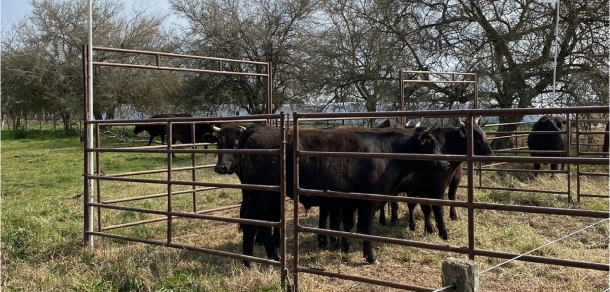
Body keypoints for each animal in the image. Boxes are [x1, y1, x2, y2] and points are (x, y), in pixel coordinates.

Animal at [214, 123, 446, 266]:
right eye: (431, 145)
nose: (445, 164)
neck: (387, 152)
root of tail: (256, 129)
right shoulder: (369, 200)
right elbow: (366, 229)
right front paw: (370, 257)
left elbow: (348, 225)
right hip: (262, 194)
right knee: (253, 221)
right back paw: (252, 261)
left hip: (267, 195)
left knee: (260, 223)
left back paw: (267, 258)